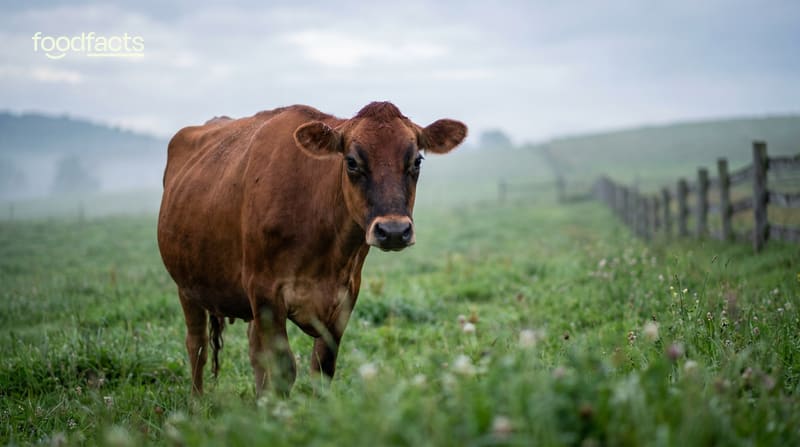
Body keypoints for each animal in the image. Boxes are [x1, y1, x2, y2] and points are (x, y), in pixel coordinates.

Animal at [157, 102, 467, 395]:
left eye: (417, 161)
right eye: (351, 162)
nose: (393, 231)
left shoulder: (344, 298)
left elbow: (321, 368)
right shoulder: (265, 292)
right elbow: (283, 369)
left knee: (254, 353)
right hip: (187, 287)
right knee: (197, 347)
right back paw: (197, 405)